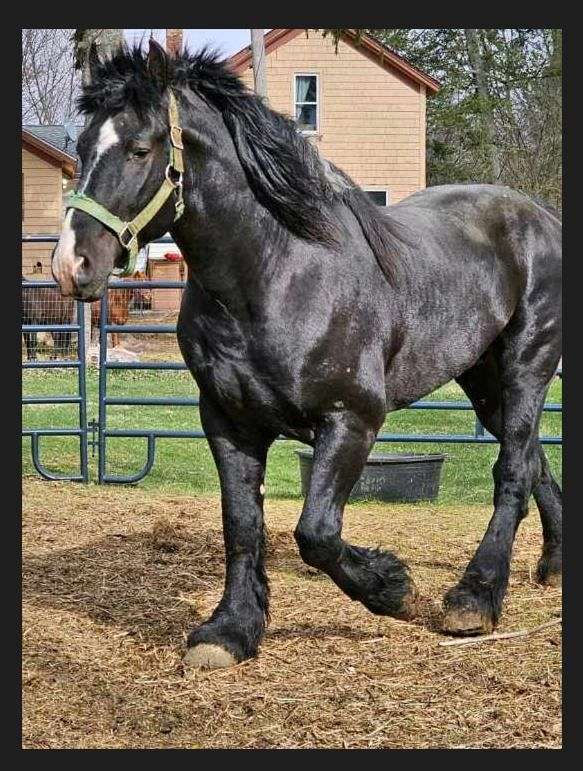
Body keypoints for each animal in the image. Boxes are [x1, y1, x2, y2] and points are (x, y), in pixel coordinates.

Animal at [50, 43, 560, 668]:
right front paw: (230, 630)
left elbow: (315, 533)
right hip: (482, 379)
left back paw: (475, 598)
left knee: (513, 469)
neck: (277, 274)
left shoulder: (351, 420)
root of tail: (541, 216)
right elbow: (243, 524)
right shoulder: (228, 422)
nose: (72, 265)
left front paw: (393, 589)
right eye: (80, 147)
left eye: (139, 148)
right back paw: (554, 564)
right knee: (534, 460)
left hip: (527, 365)